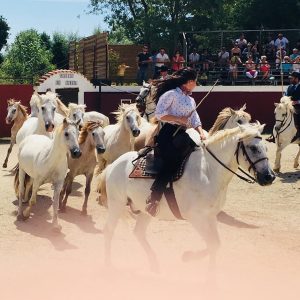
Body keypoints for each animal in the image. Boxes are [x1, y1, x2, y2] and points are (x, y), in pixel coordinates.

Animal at [99, 123, 276, 276]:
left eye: (266, 147)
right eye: (253, 148)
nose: (270, 177)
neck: (209, 171)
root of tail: (114, 165)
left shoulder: (210, 216)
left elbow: (215, 244)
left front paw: (208, 276)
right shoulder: (196, 218)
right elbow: (212, 243)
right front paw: (191, 260)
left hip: (144, 210)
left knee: (138, 233)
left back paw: (154, 264)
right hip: (116, 204)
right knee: (108, 231)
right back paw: (107, 265)